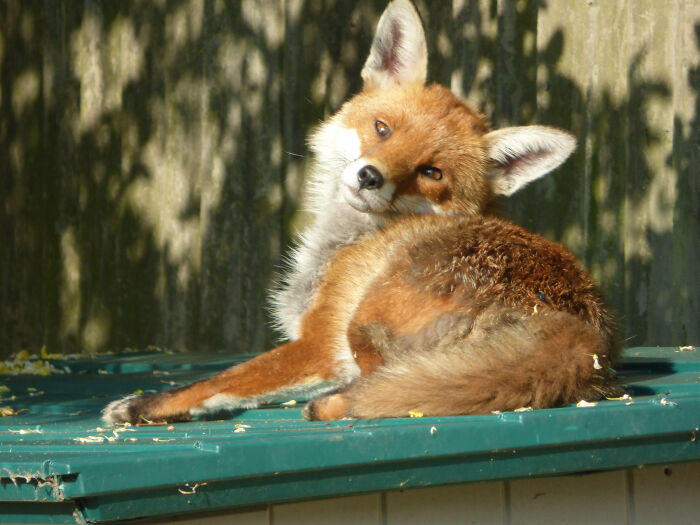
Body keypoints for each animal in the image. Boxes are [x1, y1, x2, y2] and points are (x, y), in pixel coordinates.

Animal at [103, 0, 620, 425]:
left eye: (431, 172)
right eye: (382, 128)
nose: (370, 177)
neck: (352, 240)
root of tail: (579, 330)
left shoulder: (319, 341)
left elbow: (221, 381)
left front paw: (146, 405)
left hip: (365, 321)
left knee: (385, 387)